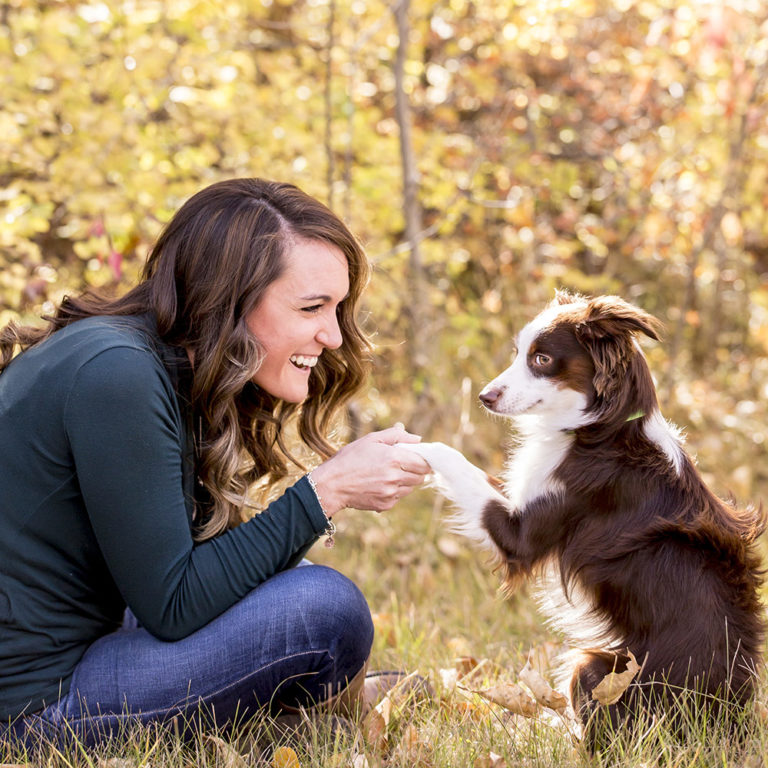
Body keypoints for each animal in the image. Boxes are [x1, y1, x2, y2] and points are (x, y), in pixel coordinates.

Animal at [404, 292, 764, 744]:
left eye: (541, 359)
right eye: (517, 353)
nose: (485, 396)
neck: (602, 428)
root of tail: (731, 723)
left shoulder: (522, 532)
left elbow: (456, 463)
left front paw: (405, 447)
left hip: (598, 669)